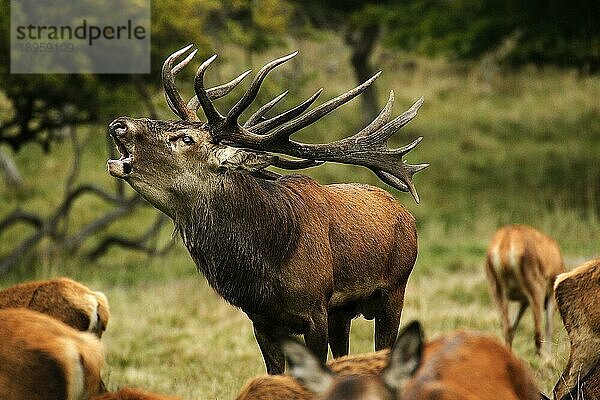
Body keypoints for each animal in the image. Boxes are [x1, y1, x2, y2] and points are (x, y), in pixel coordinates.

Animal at [106, 45, 426, 374]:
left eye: (185, 138)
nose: (120, 124)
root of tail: (405, 215)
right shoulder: (262, 321)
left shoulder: (315, 310)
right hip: (343, 312)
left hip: (394, 290)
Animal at [482, 225, 564, 354]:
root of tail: (506, 245)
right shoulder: (551, 293)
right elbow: (549, 329)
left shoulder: (523, 301)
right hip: (536, 285)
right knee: (538, 334)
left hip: (496, 288)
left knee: (507, 329)